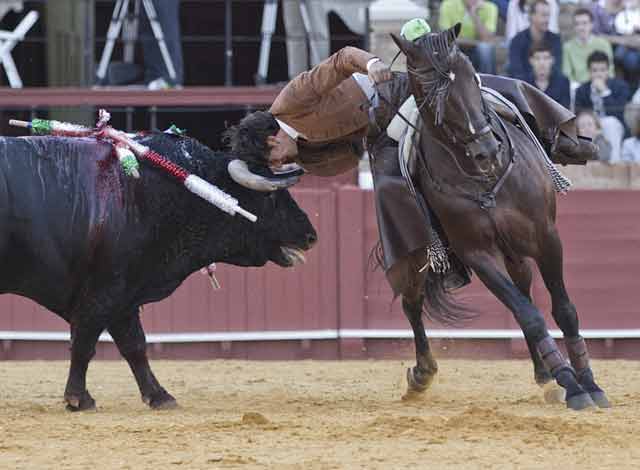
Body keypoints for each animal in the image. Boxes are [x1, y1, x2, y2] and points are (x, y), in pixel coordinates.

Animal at [0, 134, 318, 410]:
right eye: (271, 198)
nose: (311, 236)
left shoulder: (124, 296)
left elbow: (134, 345)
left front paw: (159, 396)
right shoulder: (105, 291)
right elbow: (85, 343)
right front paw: (79, 399)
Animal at [390, 24, 608, 412]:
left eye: (471, 75)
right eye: (428, 90)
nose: (486, 151)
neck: (481, 177)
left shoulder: (546, 236)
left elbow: (563, 308)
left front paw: (588, 382)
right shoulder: (478, 254)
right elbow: (529, 315)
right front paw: (572, 385)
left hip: (516, 247)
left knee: (524, 286)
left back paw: (545, 374)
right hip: (415, 255)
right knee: (413, 302)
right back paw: (421, 374)